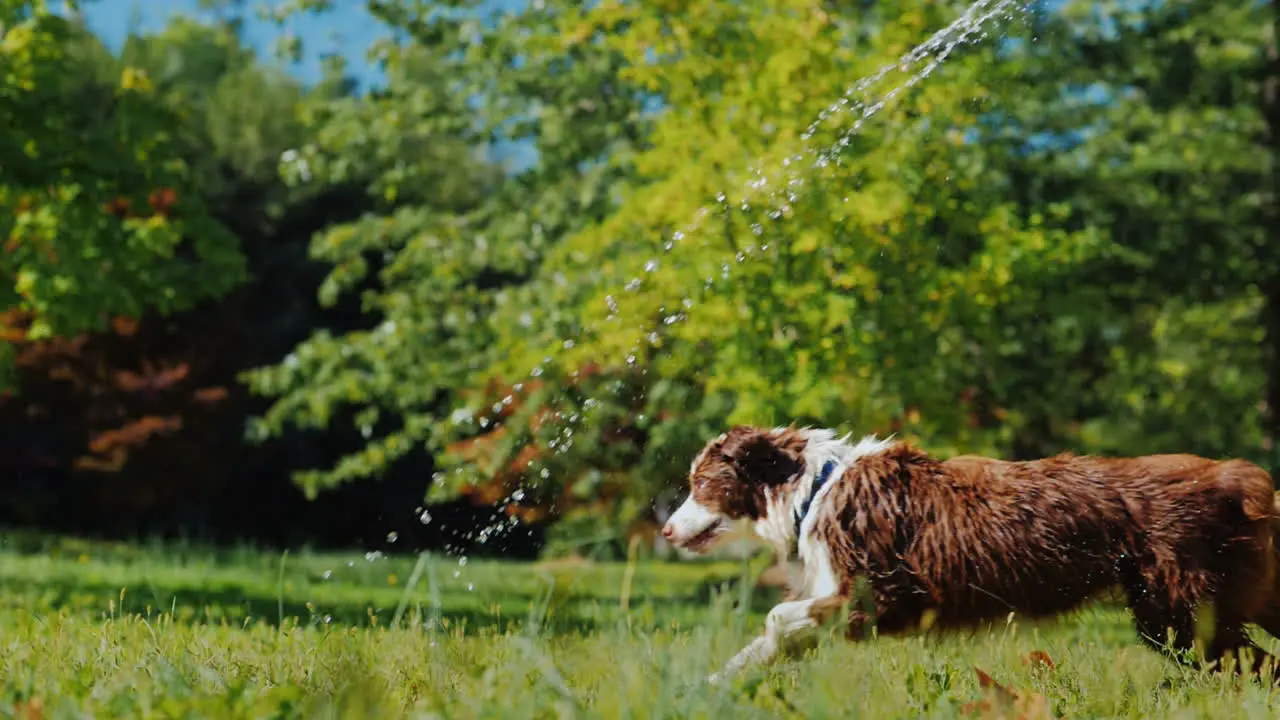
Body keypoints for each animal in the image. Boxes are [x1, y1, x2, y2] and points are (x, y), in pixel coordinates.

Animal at [665, 422, 1280, 681]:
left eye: (701, 482)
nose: (667, 531)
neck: (814, 489)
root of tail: (1235, 477)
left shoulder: (885, 595)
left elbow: (775, 615)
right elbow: (766, 642)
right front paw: (719, 683)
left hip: (1177, 611)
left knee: (1254, 664)